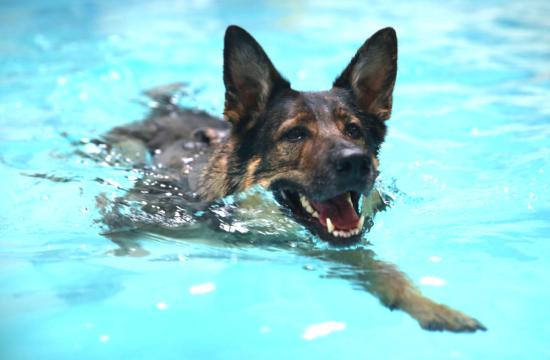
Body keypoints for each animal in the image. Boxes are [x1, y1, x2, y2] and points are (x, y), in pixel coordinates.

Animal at [95, 25, 488, 334]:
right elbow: (125, 246)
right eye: (295, 134)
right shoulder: (135, 214)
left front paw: (430, 306)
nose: (356, 162)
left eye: (354, 130)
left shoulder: (343, 247)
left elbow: (383, 269)